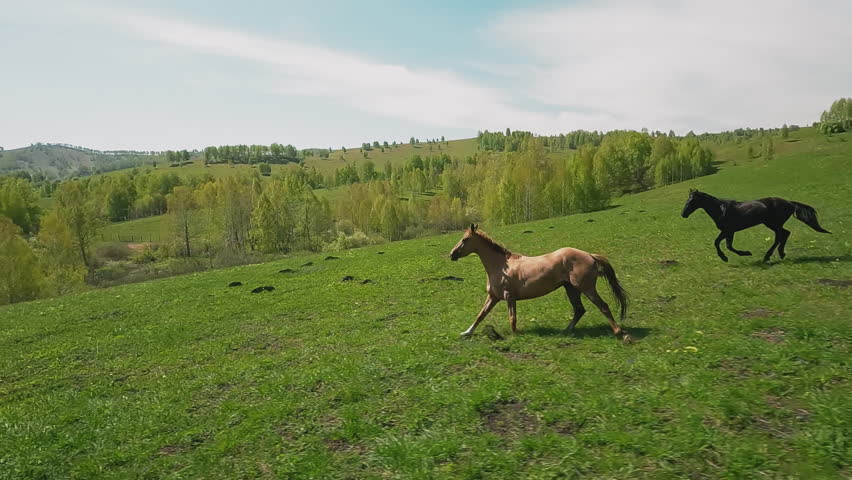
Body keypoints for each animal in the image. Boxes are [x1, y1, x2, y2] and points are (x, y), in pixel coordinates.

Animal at [449, 224, 630, 341]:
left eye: (465, 239)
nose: (452, 254)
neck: (500, 266)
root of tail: (590, 255)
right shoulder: (493, 297)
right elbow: (481, 315)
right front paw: (466, 333)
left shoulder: (509, 297)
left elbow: (512, 318)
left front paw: (514, 337)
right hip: (571, 289)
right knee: (579, 310)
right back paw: (565, 331)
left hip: (586, 288)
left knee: (603, 306)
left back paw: (620, 333)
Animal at [681, 189, 831, 263]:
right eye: (687, 199)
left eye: (692, 201)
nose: (683, 214)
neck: (720, 210)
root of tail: (790, 203)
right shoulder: (727, 231)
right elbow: (720, 243)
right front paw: (726, 257)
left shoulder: (729, 231)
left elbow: (725, 245)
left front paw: (740, 254)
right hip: (771, 224)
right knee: (785, 234)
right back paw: (779, 254)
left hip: (773, 223)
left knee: (781, 235)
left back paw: (769, 256)